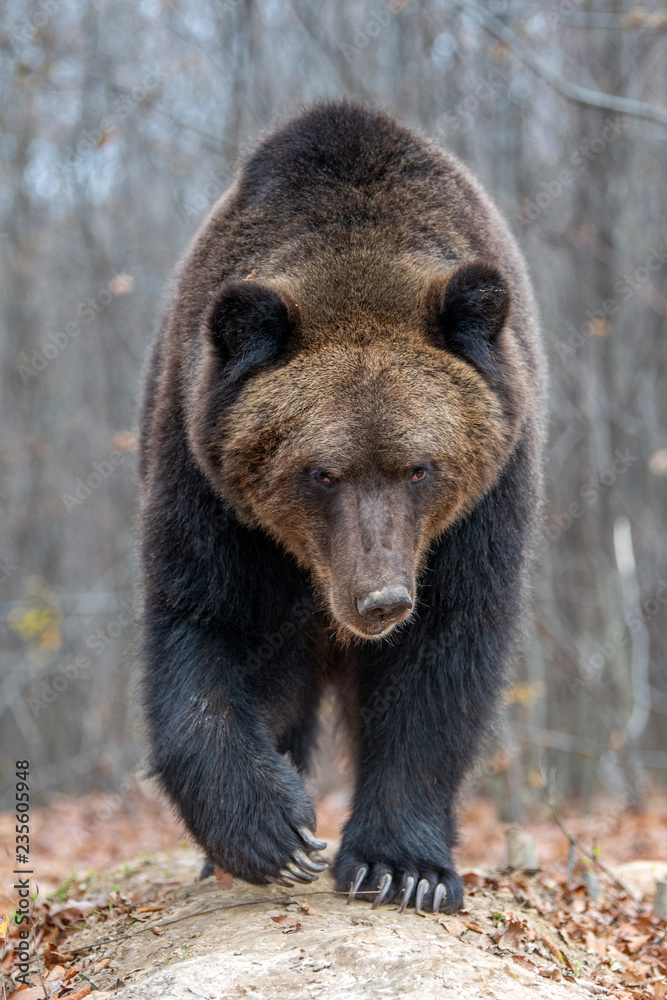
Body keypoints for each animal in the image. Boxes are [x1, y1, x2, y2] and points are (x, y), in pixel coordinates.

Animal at [138, 99, 544, 916]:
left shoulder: (479, 511)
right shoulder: (212, 489)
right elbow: (205, 627)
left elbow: (443, 659)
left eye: (420, 467)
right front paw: (272, 833)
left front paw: (401, 867)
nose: (380, 599)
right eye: (322, 473)